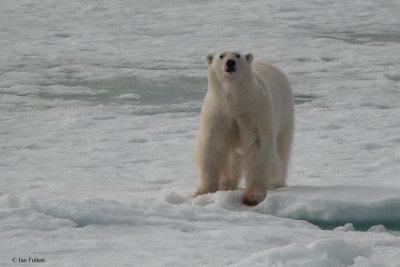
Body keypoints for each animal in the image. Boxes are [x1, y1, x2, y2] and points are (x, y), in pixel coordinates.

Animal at [194, 51, 294, 206]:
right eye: (221, 55)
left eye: (238, 55)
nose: (230, 63)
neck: (234, 100)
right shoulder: (218, 113)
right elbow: (211, 146)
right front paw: (203, 191)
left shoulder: (255, 112)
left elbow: (259, 147)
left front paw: (253, 196)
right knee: (233, 156)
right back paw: (227, 184)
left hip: (285, 113)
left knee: (282, 148)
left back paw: (276, 182)